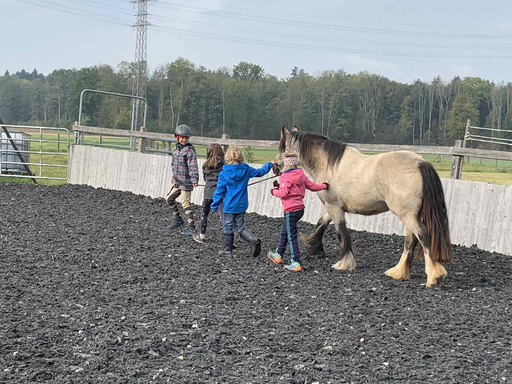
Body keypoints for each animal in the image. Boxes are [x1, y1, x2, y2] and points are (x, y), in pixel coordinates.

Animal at [274, 124, 454, 286]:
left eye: (283, 147)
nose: (275, 167)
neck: (328, 164)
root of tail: (420, 162)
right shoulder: (331, 208)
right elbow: (321, 224)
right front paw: (315, 248)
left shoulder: (334, 208)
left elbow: (341, 233)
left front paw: (344, 263)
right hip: (410, 215)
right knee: (411, 241)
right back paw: (399, 272)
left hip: (407, 215)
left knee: (423, 235)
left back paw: (434, 276)